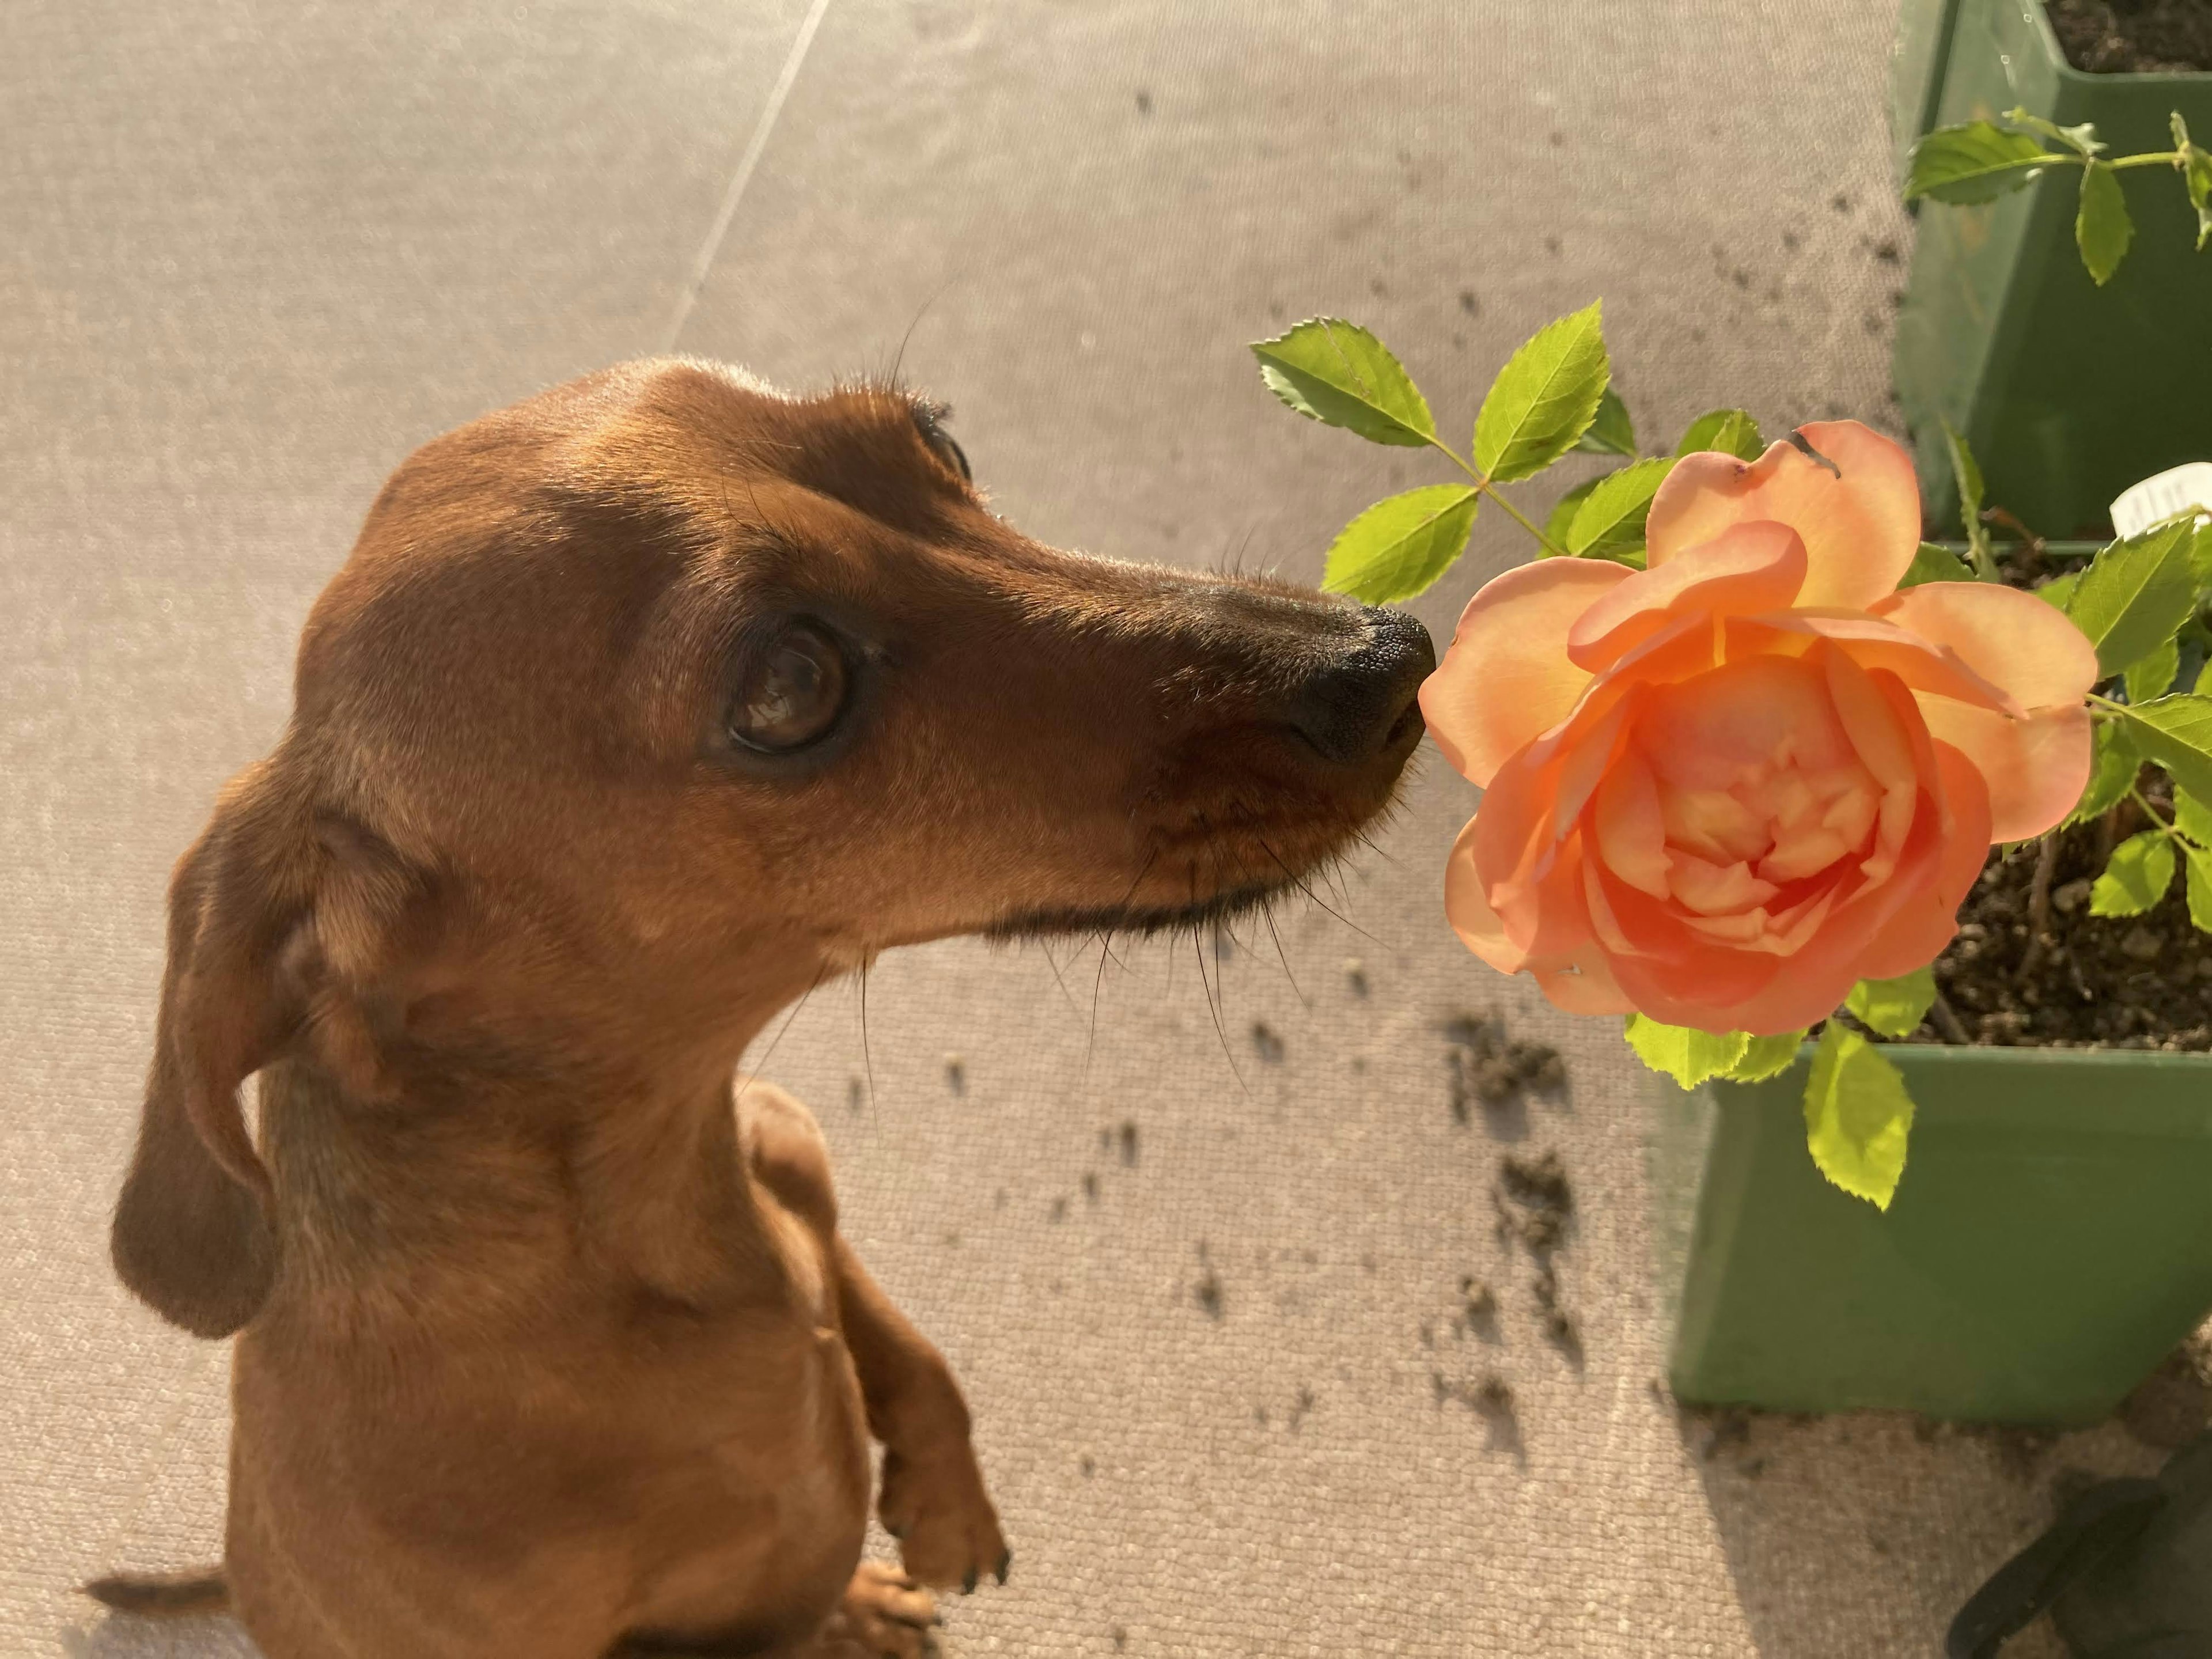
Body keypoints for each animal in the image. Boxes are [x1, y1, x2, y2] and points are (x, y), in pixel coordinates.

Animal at [86, 362, 1433, 1659]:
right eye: (790, 685)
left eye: (940, 442)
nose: (1390, 660)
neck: (666, 1226)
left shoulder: (795, 1151)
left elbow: (908, 1348)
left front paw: (947, 1507)